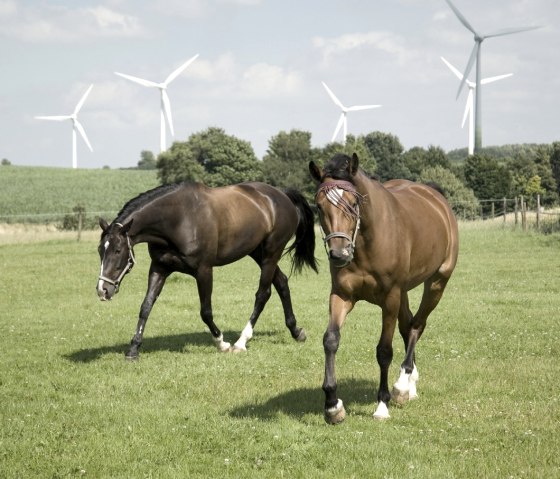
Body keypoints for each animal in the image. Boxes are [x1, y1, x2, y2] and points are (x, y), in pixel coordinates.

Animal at [96, 182, 318, 358]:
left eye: (117, 250)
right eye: (100, 250)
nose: (102, 290)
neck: (179, 218)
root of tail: (282, 195)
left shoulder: (204, 271)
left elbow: (206, 311)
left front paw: (222, 343)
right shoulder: (159, 268)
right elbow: (146, 306)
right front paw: (133, 349)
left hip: (271, 254)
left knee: (263, 294)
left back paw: (241, 342)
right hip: (257, 252)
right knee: (282, 283)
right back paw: (296, 331)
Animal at [308, 154, 458, 424]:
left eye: (353, 203)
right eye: (319, 205)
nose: (339, 254)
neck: (367, 242)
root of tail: (436, 197)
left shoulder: (390, 298)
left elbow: (384, 351)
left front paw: (382, 404)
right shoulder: (342, 295)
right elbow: (331, 340)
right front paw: (333, 405)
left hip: (437, 283)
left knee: (417, 326)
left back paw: (402, 386)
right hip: (405, 292)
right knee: (408, 325)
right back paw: (410, 385)